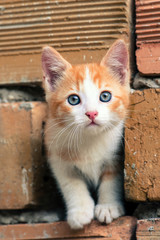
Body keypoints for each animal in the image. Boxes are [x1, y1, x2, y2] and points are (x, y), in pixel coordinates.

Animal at [41, 40, 130, 230]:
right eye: (73, 100)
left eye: (105, 96)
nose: (91, 113)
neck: (90, 140)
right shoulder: (56, 154)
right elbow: (71, 183)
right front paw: (80, 212)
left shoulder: (116, 153)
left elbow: (112, 179)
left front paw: (108, 206)